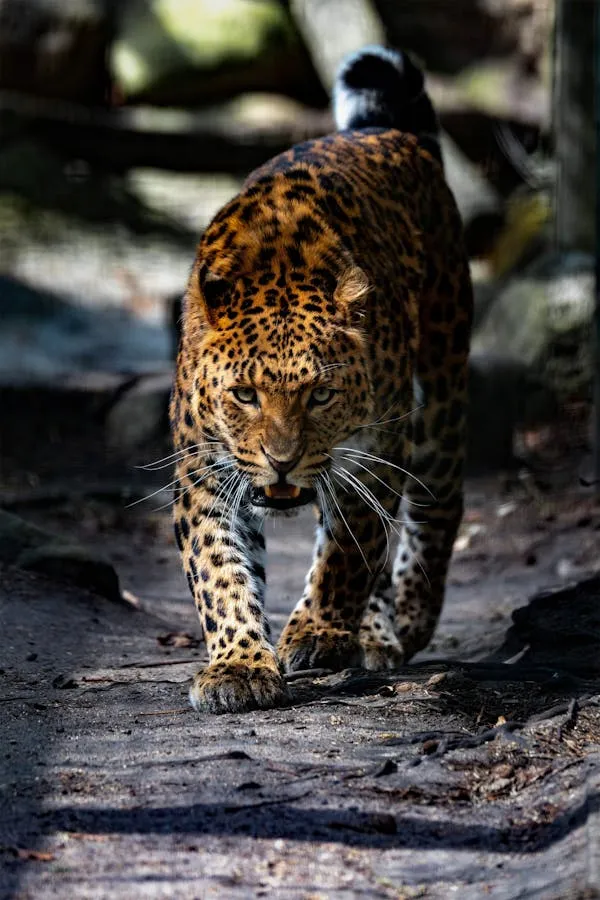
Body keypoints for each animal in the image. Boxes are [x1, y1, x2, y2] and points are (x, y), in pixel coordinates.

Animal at [170, 45, 473, 714]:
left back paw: (406, 618)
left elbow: (351, 548)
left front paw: (317, 632)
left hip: (440, 394)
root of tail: (388, 134)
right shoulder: (201, 469)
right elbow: (219, 570)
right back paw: (375, 630)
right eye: (245, 395)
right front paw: (238, 666)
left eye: (322, 395)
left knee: (437, 503)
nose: (282, 462)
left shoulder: (376, 448)